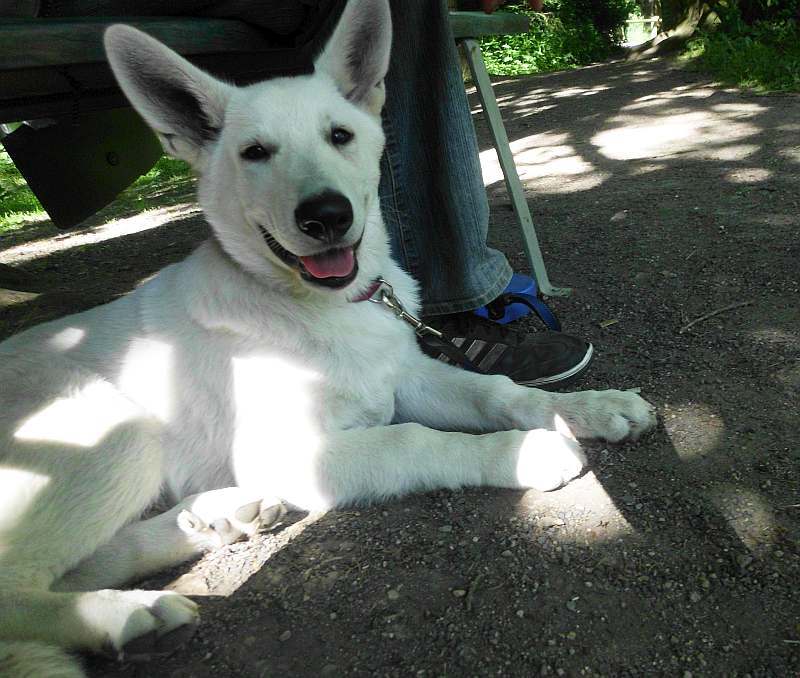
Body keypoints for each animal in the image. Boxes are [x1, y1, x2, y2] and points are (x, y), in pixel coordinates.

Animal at [0, 2, 656, 676]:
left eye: (340, 136)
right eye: (255, 152)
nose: (327, 216)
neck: (326, 310)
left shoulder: (406, 373)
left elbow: (500, 390)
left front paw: (589, 408)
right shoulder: (290, 451)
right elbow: (412, 439)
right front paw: (525, 451)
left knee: (74, 565)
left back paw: (217, 517)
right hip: (112, 429)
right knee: (18, 585)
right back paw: (130, 614)